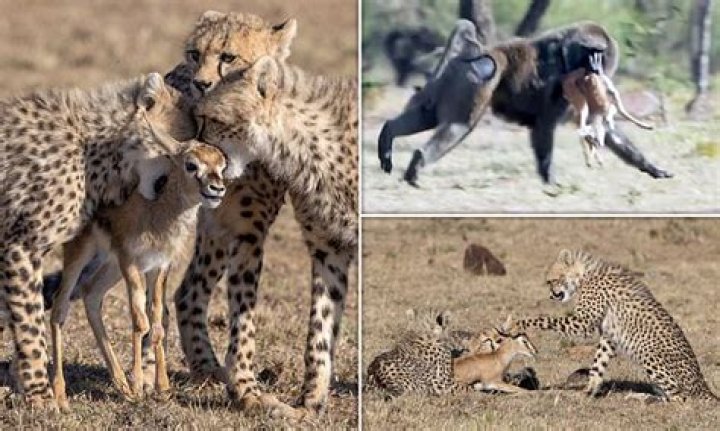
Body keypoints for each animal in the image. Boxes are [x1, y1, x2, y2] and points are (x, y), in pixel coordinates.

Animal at [377, 20, 672, 187]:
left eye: (600, 53)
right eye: (590, 52)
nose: (597, 69)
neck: (565, 53)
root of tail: (478, 53)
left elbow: (604, 130)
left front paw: (652, 168)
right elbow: (545, 126)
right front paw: (550, 181)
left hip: (450, 79)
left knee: (427, 116)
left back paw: (388, 137)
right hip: (474, 80)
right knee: (458, 126)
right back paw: (417, 165)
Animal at [516, 249, 719, 402]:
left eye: (552, 280)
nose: (551, 295)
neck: (585, 274)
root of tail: (705, 388)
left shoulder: (582, 322)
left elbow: (544, 319)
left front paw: (517, 323)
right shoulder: (609, 335)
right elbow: (598, 363)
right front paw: (588, 390)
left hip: (649, 353)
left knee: (680, 399)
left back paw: (645, 399)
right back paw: (641, 396)